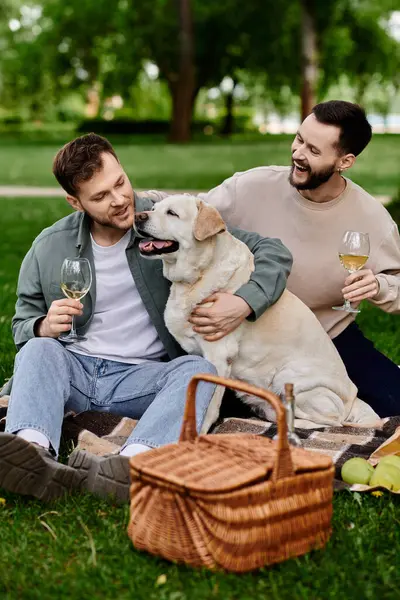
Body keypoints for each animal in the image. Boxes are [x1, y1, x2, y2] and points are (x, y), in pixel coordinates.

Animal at [135, 195, 382, 434]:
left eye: (172, 213)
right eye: (154, 208)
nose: (138, 217)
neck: (199, 274)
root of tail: (355, 398)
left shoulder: (219, 355)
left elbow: (209, 404)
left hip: (289, 377)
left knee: (333, 421)